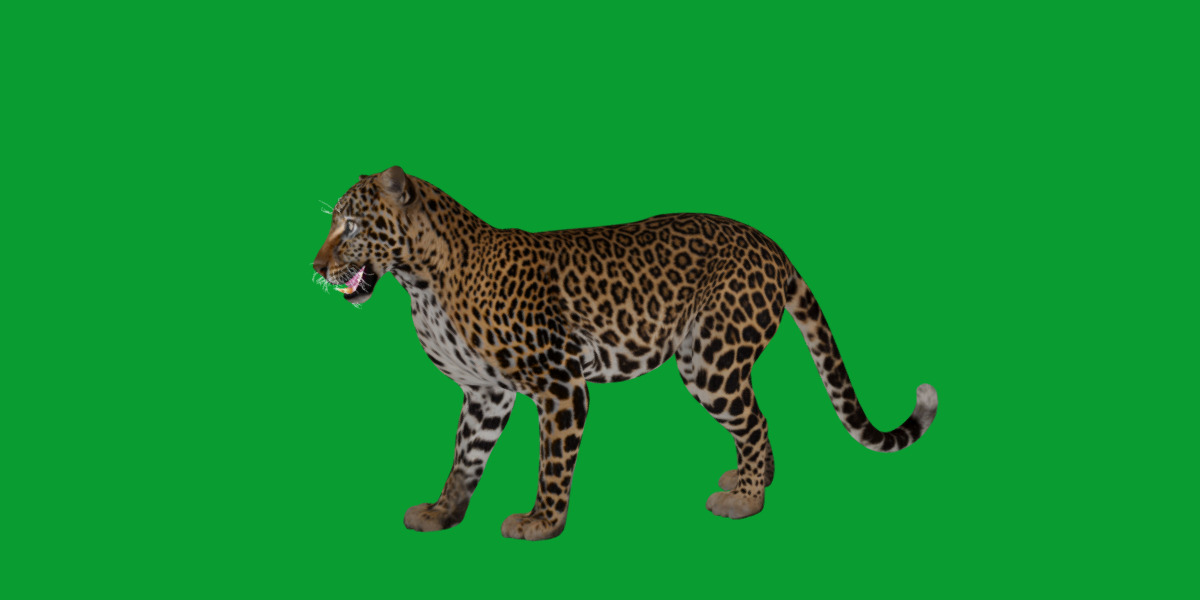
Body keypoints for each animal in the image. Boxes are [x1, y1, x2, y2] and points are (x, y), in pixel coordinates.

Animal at [312, 166, 938, 541]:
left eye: (351, 227)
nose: (315, 266)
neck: (421, 282)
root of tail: (771, 243)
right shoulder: (485, 392)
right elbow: (466, 457)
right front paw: (443, 513)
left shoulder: (560, 382)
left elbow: (552, 461)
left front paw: (541, 522)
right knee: (756, 420)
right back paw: (747, 479)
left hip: (710, 358)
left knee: (756, 420)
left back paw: (746, 500)